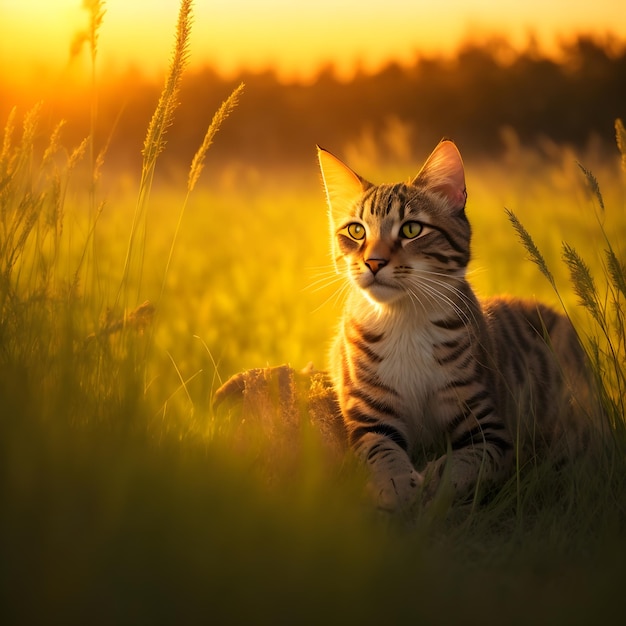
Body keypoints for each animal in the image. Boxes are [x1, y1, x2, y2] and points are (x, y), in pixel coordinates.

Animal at [316, 139, 600, 510]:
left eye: (411, 229)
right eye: (356, 230)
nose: (374, 262)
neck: (405, 320)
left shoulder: (490, 428)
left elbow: (467, 463)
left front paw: (436, 484)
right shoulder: (371, 419)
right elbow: (384, 454)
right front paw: (397, 487)